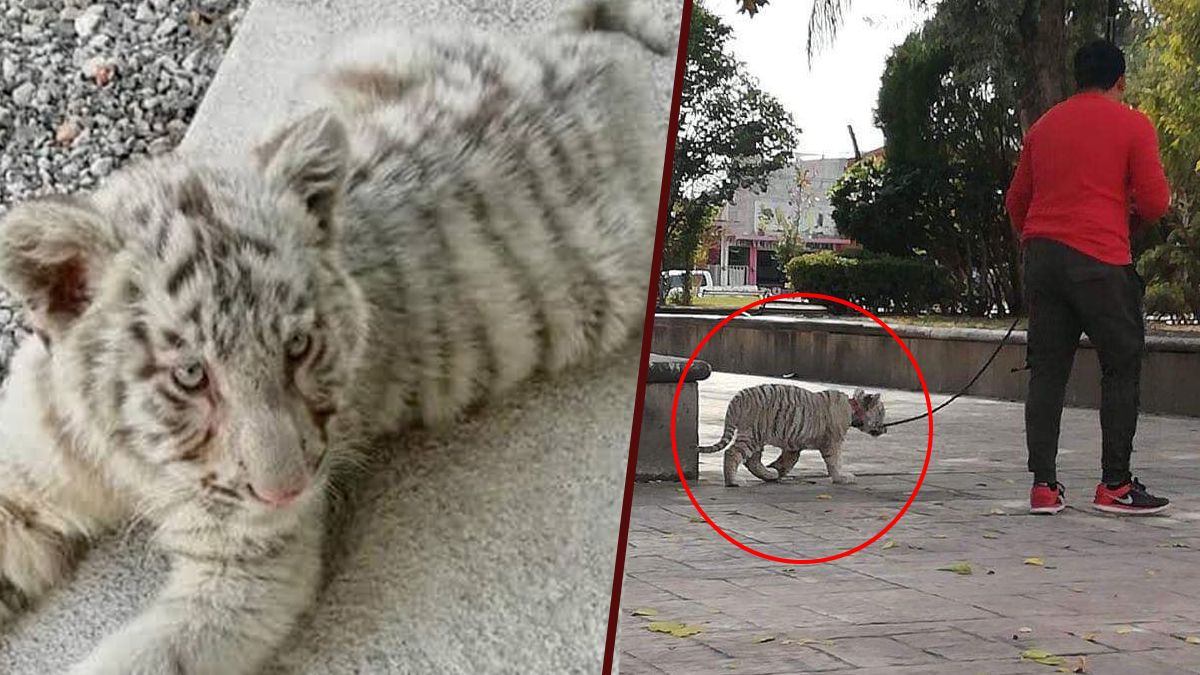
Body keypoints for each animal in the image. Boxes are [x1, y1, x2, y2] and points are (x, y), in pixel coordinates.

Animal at [0, 1, 678, 673]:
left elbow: (141, 657)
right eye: (190, 375)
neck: (135, 460)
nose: (288, 491)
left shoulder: (249, 573)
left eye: (298, 347)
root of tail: (572, 54)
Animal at [698, 383, 887, 487]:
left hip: (757, 437)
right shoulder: (833, 441)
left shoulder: (793, 444)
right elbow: (835, 461)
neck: (853, 408)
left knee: (752, 461)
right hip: (752, 434)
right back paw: (733, 482)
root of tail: (738, 397)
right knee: (733, 453)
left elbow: (789, 460)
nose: (885, 429)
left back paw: (769, 474)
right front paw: (841, 478)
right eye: (882, 412)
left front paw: (778, 469)